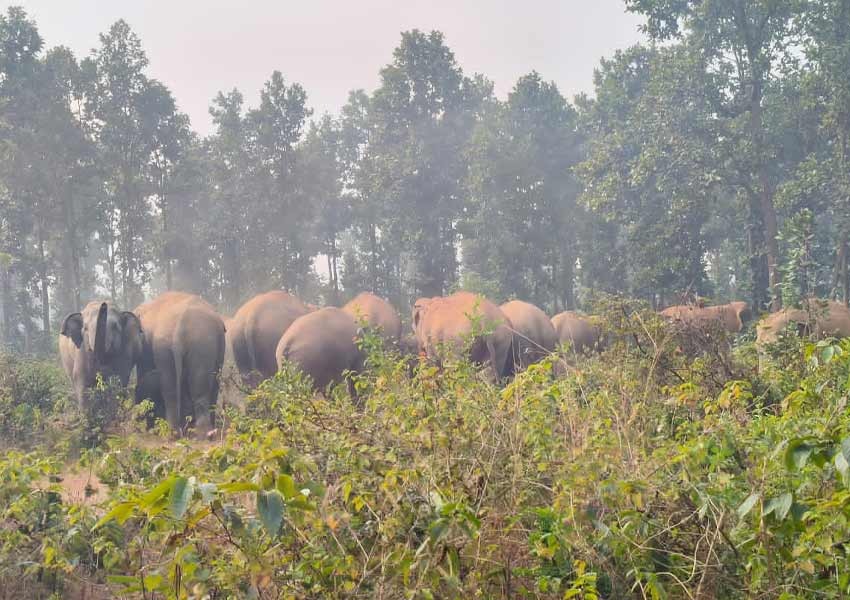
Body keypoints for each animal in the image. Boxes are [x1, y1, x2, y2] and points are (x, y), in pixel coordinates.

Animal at [134, 292, 226, 436]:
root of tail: (179, 327)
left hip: (171, 346)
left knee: (170, 387)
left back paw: (176, 433)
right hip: (198, 344)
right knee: (198, 387)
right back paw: (204, 433)